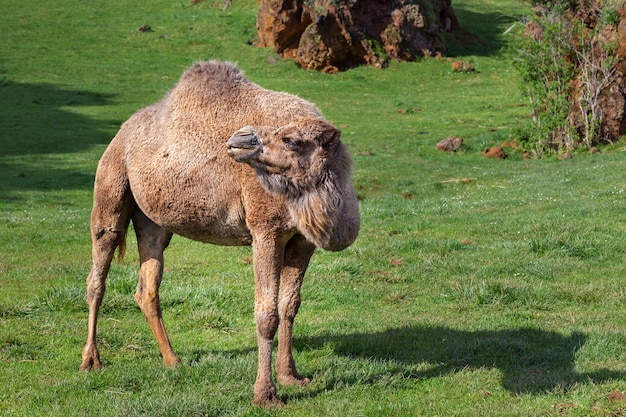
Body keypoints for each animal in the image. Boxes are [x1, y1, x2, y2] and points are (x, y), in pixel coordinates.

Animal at [79, 60, 360, 404]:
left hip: (153, 220)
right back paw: (91, 360)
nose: (240, 138)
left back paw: (173, 360)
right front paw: (265, 394)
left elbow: (289, 306)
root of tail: (122, 132)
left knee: (147, 285)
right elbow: (267, 313)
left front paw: (291, 377)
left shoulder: (302, 239)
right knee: (98, 270)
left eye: (291, 140)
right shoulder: (265, 230)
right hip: (111, 184)